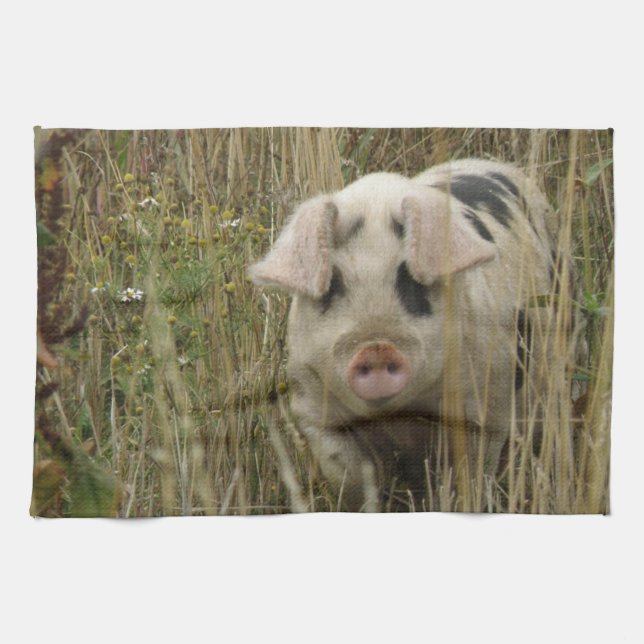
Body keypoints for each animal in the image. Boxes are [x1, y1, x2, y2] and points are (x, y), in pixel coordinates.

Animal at [251, 159, 560, 511]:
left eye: (410, 280)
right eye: (332, 285)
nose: (376, 348)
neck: (398, 417)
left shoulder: (483, 412)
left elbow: (467, 478)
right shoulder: (317, 415)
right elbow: (350, 480)